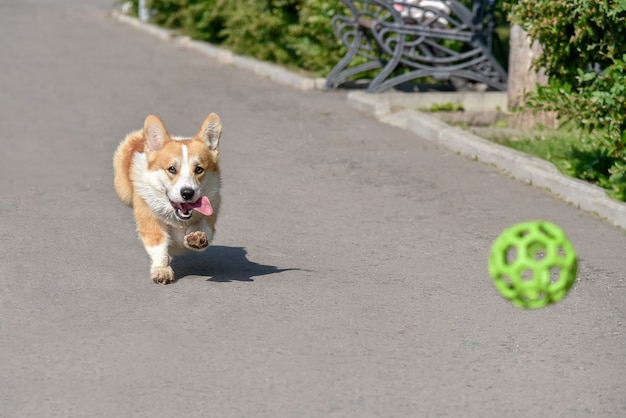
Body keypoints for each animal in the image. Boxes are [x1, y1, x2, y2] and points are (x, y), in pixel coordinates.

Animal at [114, 114, 222, 284]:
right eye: (172, 169)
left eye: (199, 169)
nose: (187, 193)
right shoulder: (150, 220)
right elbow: (159, 246)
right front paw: (162, 270)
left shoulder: (211, 212)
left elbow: (203, 228)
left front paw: (197, 237)